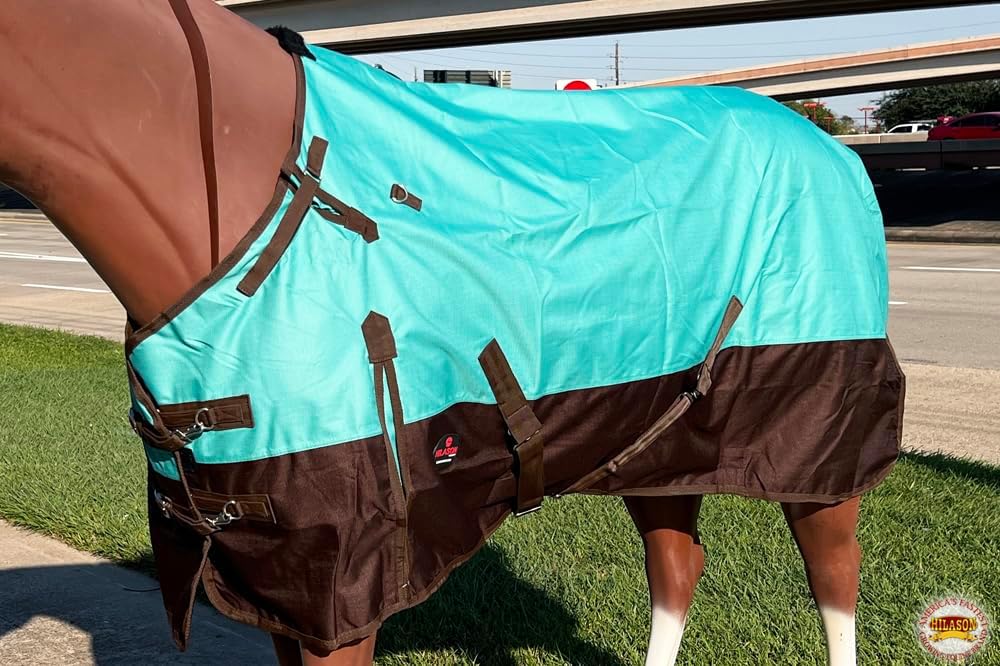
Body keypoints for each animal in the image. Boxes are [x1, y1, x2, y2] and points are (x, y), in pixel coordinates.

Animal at [0, 2, 903, 665]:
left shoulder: (343, 578)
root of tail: (830, 146)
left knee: (833, 572)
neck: (263, 196)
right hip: (655, 434)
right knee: (677, 566)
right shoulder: (280, 576)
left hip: (816, 435)